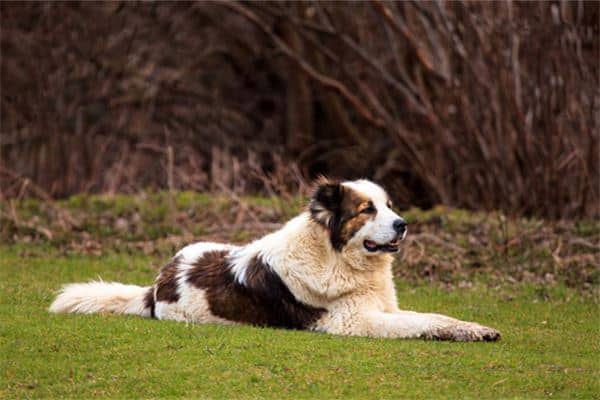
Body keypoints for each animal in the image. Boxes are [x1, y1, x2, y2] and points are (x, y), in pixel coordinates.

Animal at [50, 180, 502, 342]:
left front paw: (474, 328)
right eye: (366, 210)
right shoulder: (354, 321)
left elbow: (436, 315)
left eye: (389, 206)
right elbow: (420, 323)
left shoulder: (382, 309)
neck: (334, 257)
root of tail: (158, 283)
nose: (403, 224)